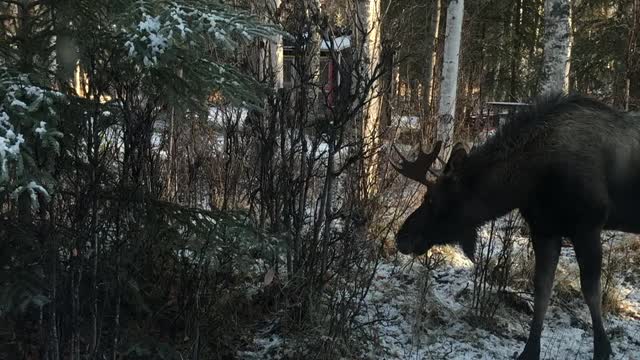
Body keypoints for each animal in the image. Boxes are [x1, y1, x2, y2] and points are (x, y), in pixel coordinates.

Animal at [392, 93, 636, 360]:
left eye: (432, 199)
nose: (401, 237)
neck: (528, 183)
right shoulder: (544, 229)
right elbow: (542, 289)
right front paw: (529, 350)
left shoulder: (588, 225)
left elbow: (591, 291)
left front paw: (603, 349)